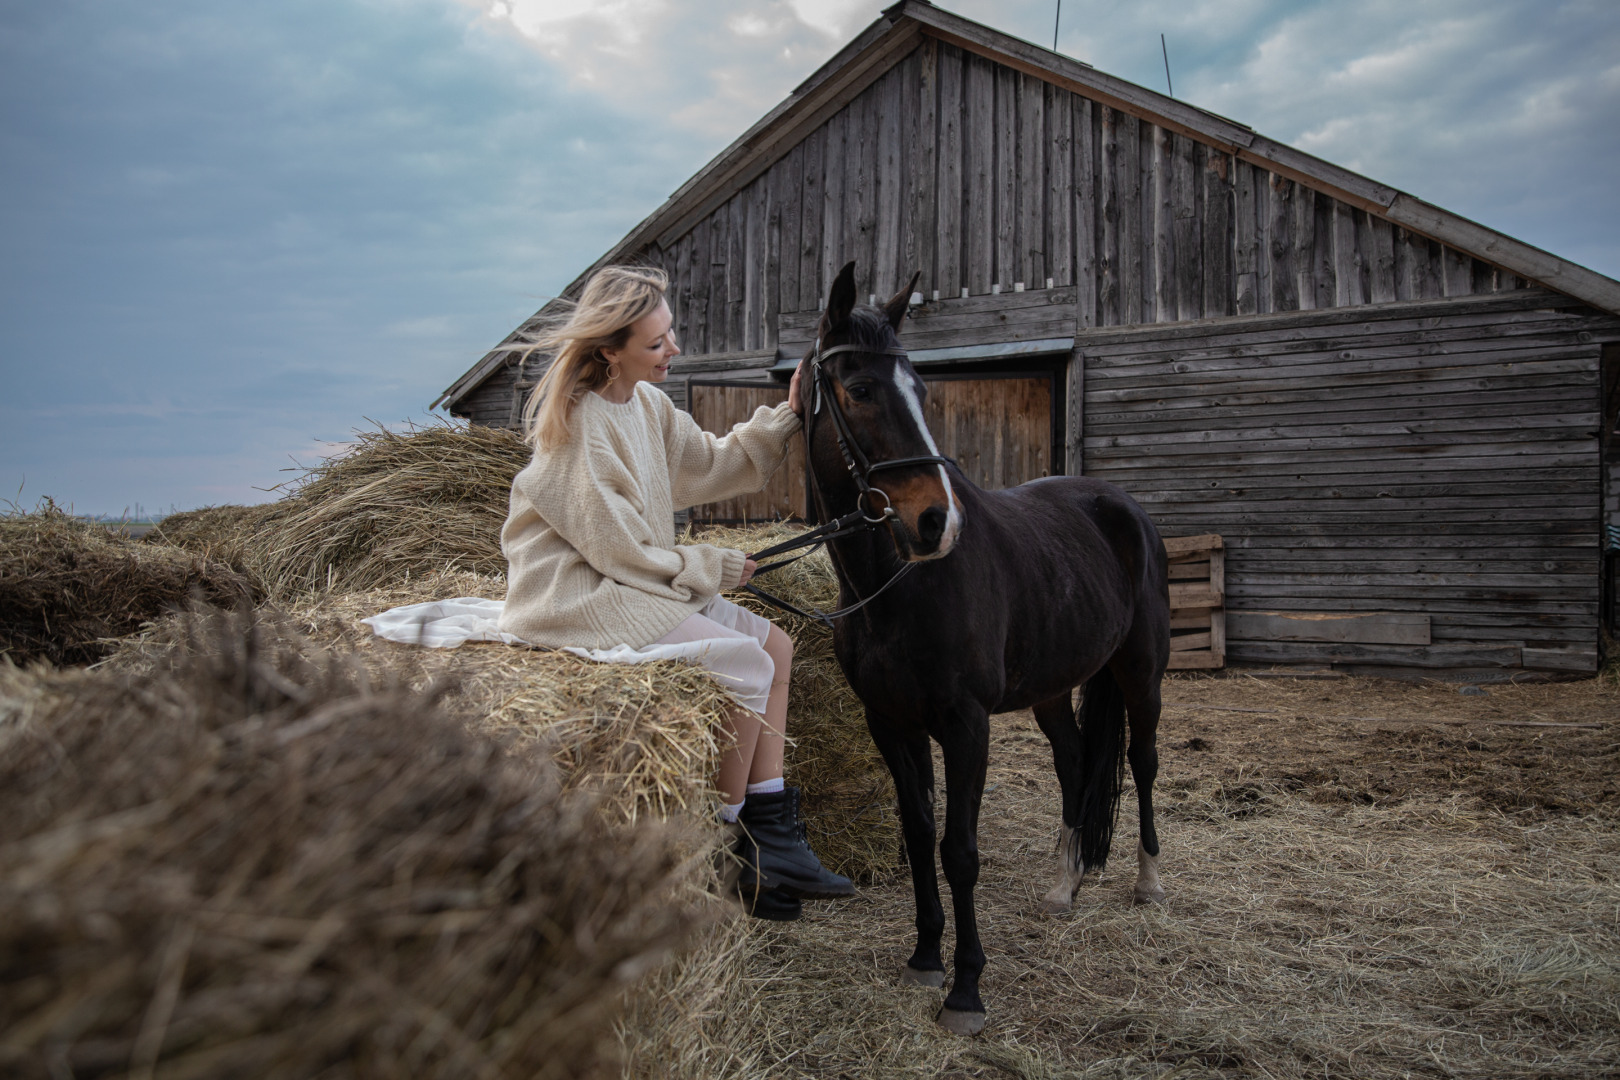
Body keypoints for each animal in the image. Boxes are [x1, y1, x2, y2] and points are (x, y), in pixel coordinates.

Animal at [790, 263, 1172, 1036]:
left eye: (922, 388)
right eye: (860, 389)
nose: (937, 521)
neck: (899, 587)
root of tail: (1123, 508)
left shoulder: (966, 726)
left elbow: (959, 851)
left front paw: (965, 989)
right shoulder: (891, 724)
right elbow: (917, 835)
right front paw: (924, 958)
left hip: (1142, 672)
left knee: (1142, 763)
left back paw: (1148, 883)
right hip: (1055, 688)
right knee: (1076, 762)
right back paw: (1064, 885)